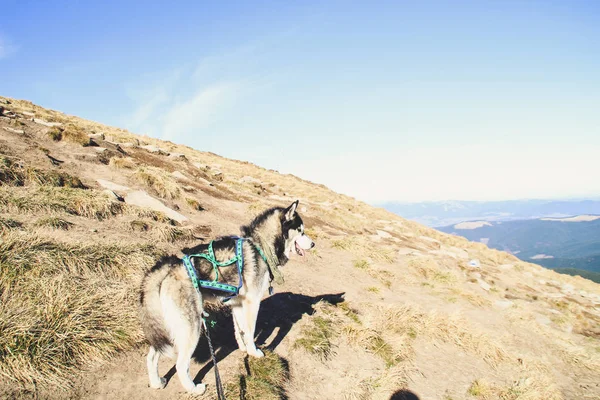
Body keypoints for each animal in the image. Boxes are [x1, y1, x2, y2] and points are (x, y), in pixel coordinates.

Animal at [138, 200, 312, 394]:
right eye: (301, 230)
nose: (313, 244)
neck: (261, 246)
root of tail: (168, 266)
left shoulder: (238, 303)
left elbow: (240, 330)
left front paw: (244, 348)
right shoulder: (252, 303)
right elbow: (250, 331)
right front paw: (254, 352)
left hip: (167, 329)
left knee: (152, 356)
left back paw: (156, 382)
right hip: (191, 328)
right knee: (180, 365)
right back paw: (194, 388)